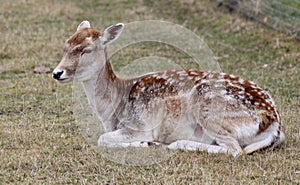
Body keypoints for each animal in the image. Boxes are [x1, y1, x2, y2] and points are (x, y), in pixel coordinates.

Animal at [52, 20, 284, 157]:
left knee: (235, 150)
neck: (114, 110)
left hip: (209, 107)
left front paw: (145, 144)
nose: (57, 73)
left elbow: (102, 139)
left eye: (86, 51)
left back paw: (175, 144)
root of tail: (274, 123)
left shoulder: (140, 124)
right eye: (65, 46)